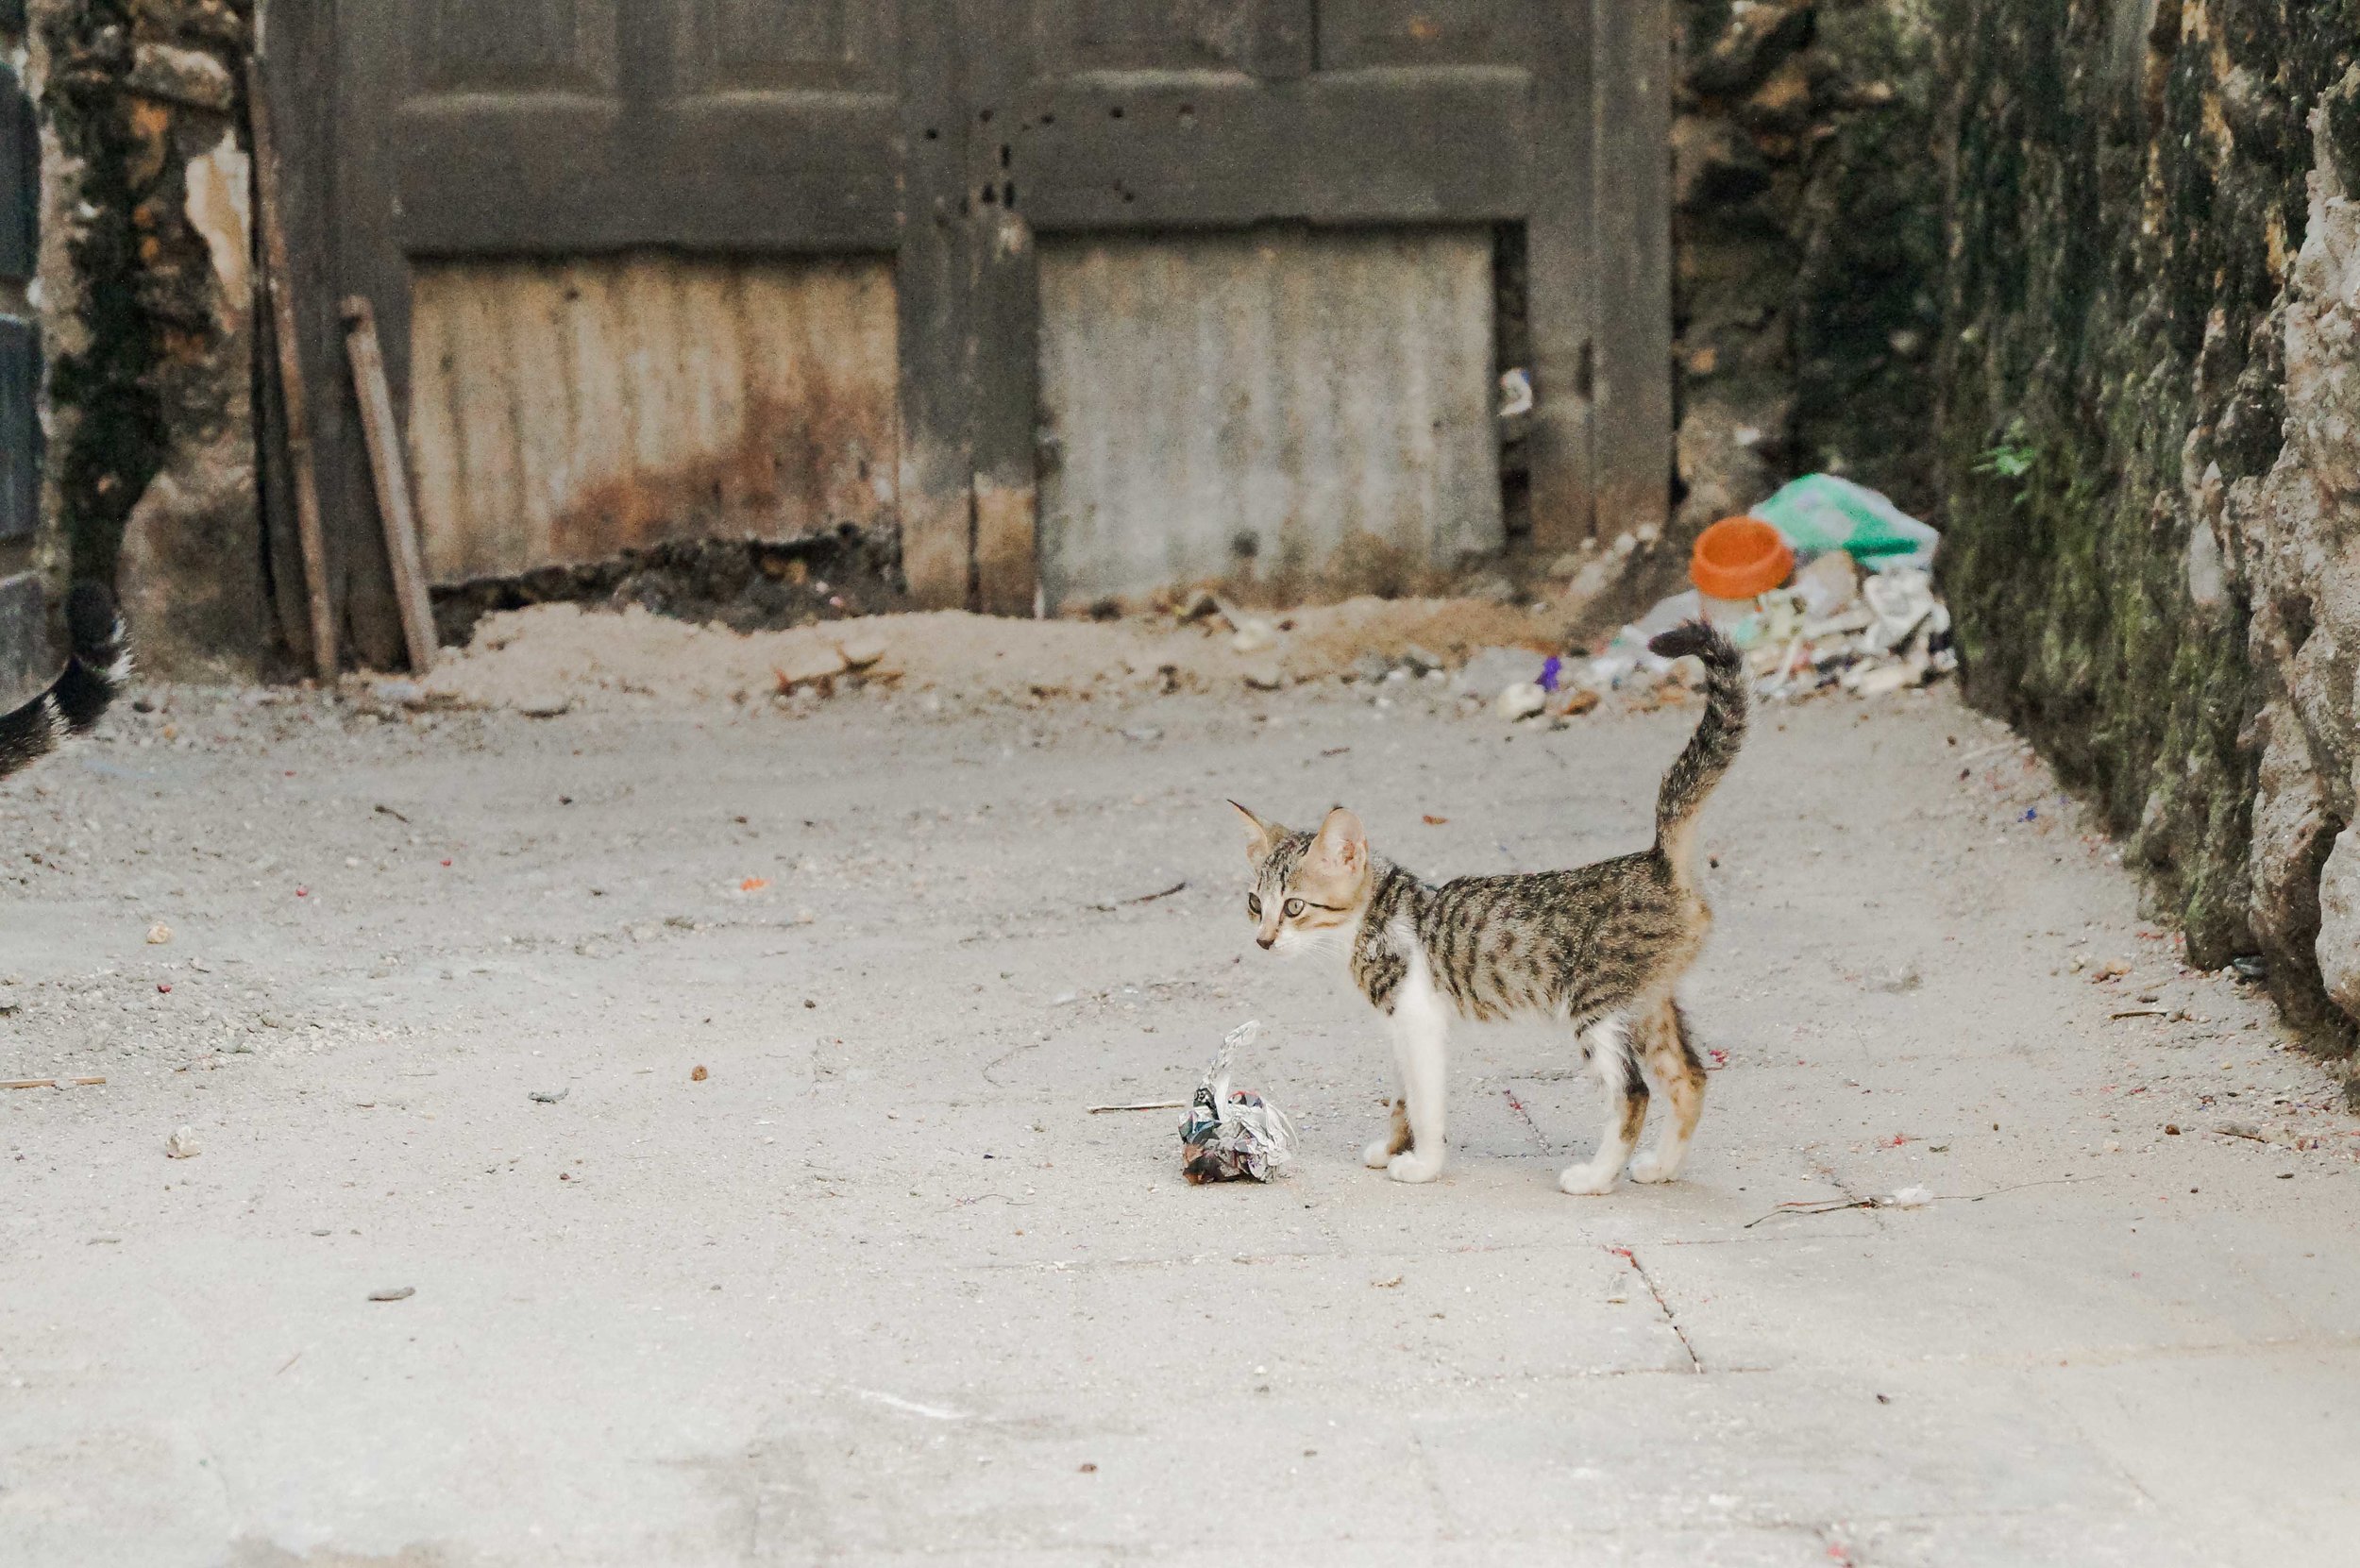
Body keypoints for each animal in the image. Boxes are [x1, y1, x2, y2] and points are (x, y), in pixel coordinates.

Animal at [1237, 618, 1756, 1194]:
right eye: (1256, 903)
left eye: (1295, 907)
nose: (1263, 940)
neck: (1371, 920)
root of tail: (1658, 859)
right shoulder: (1402, 1029)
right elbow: (1403, 1099)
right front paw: (1392, 1147)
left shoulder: (1419, 1021)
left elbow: (1427, 1106)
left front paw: (1423, 1165)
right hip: (1647, 1004)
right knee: (1689, 1077)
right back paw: (1660, 1168)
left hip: (1595, 1006)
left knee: (1634, 1093)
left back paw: (1594, 1178)